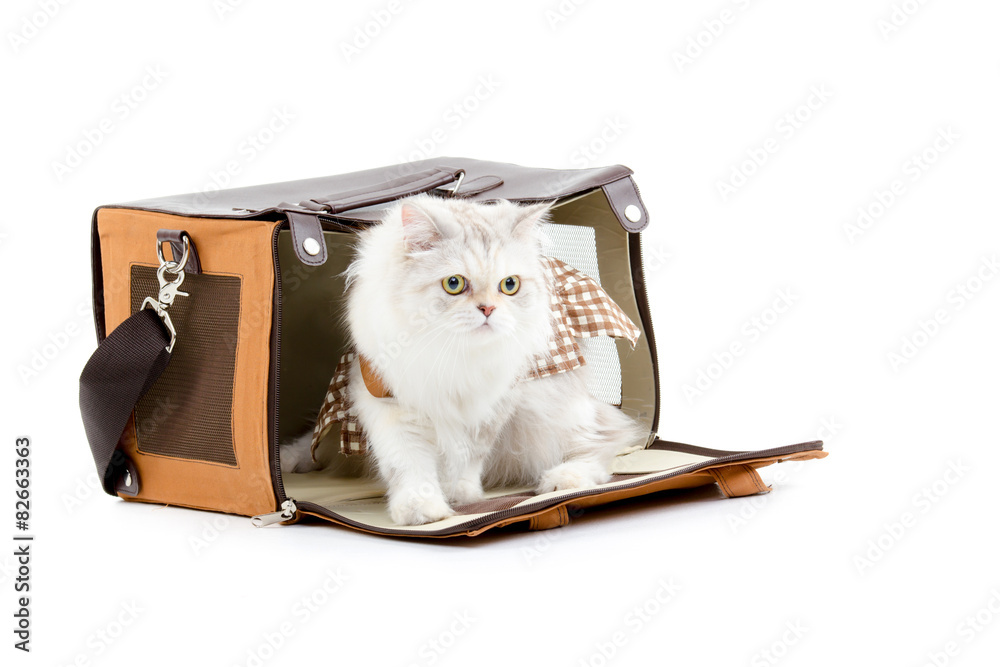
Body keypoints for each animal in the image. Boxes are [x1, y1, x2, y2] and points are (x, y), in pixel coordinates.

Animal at [282, 196, 644, 524]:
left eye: (509, 285)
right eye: (453, 284)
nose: (488, 309)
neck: (453, 355)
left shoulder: (492, 403)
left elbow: (467, 456)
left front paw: (460, 494)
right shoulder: (385, 398)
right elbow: (408, 463)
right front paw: (421, 509)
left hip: (556, 411)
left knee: (602, 443)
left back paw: (563, 480)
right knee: (313, 443)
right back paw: (288, 461)